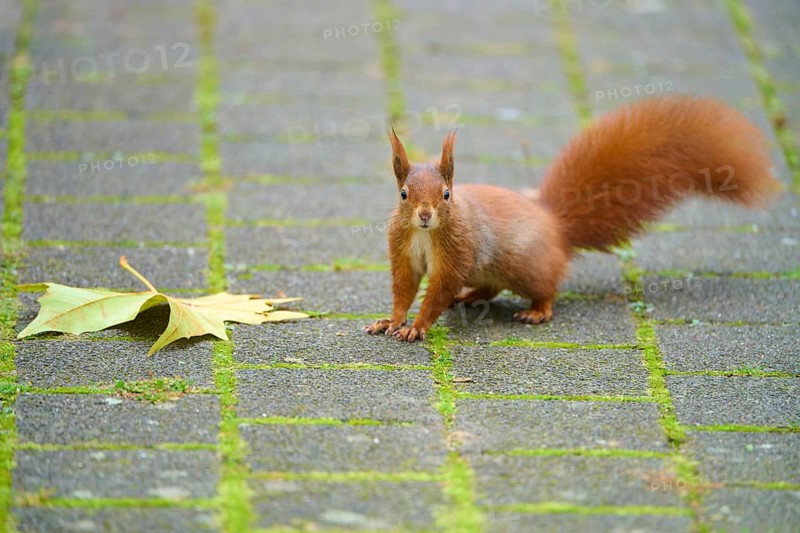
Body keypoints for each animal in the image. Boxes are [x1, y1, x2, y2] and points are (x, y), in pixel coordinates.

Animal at [365, 95, 781, 342]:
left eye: (446, 195)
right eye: (403, 195)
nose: (424, 215)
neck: (425, 234)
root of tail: (555, 226)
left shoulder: (456, 253)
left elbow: (437, 291)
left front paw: (417, 326)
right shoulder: (403, 251)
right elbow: (405, 288)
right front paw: (392, 320)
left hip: (527, 267)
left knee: (545, 289)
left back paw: (536, 311)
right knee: (490, 288)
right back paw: (468, 298)